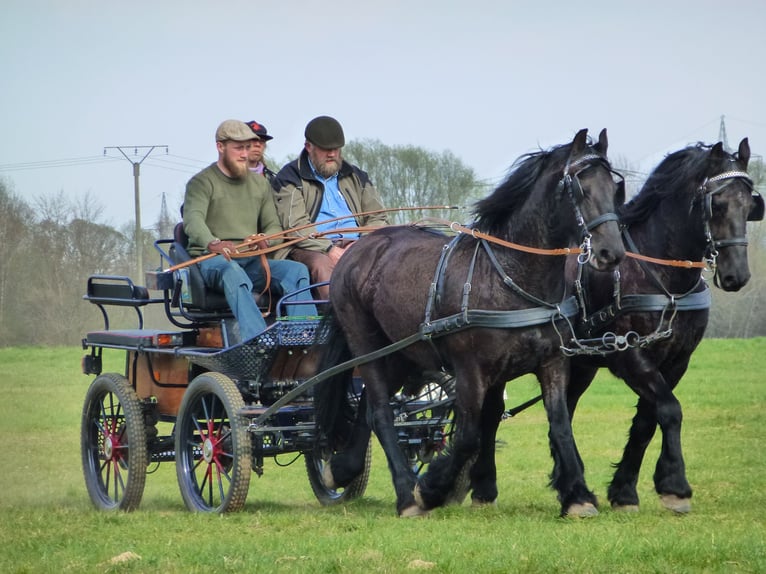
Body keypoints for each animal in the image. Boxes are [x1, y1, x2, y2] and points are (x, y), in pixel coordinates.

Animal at [318, 129, 632, 516]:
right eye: (579, 187)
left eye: (614, 186)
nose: (611, 253)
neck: (510, 277)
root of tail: (359, 249)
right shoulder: (470, 371)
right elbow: (468, 435)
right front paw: (432, 488)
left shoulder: (552, 362)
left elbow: (558, 425)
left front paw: (577, 495)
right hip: (367, 346)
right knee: (380, 413)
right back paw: (407, 494)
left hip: (402, 353)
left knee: (366, 411)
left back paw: (341, 469)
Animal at [568, 138, 764, 512]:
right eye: (717, 204)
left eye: (750, 205)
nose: (737, 275)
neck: (662, 277)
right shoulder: (629, 355)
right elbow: (671, 410)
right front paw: (675, 485)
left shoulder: (676, 360)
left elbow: (648, 419)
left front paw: (625, 491)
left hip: (580, 367)